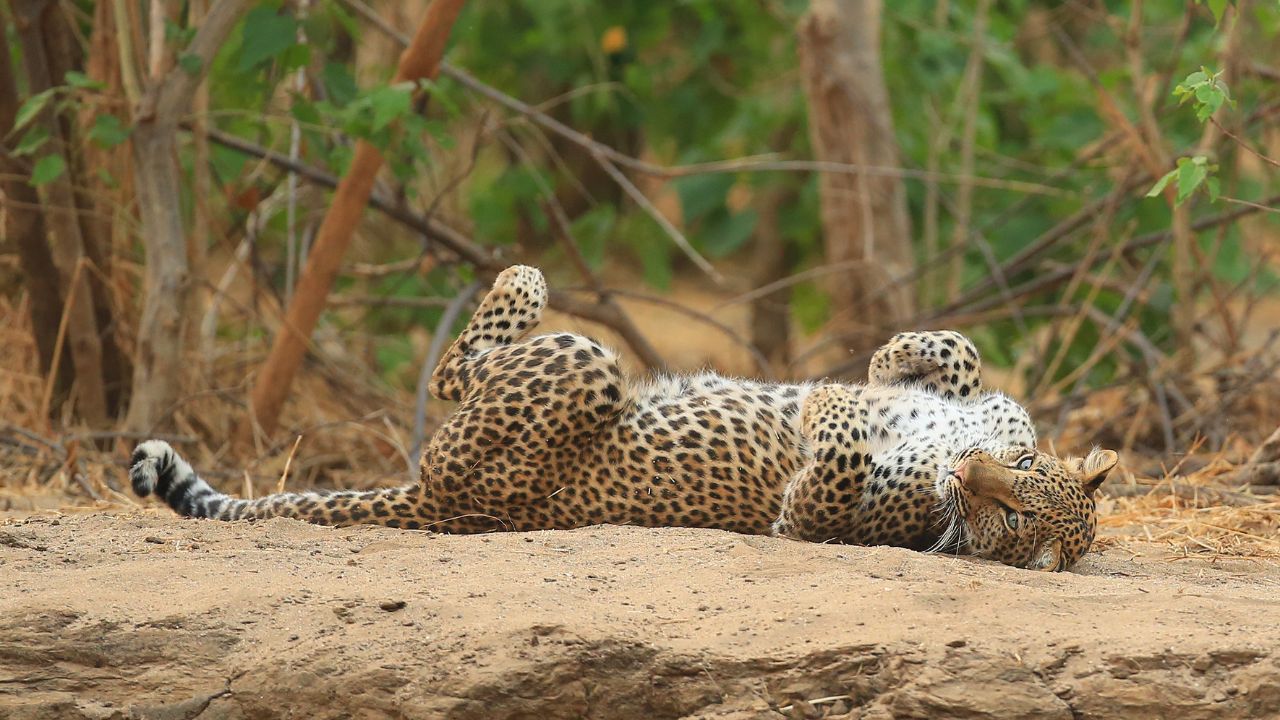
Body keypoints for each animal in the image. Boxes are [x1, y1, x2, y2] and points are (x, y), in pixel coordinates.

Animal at [129, 265, 1118, 571]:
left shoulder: (815, 520)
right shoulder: (978, 407)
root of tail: (433, 507)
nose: (969, 478)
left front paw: (833, 403)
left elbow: (831, 461)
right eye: (1020, 483)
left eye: (1014, 524)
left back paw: (515, 278)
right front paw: (891, 363)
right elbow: (956, 356)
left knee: (458, 376)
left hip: (580, 367)